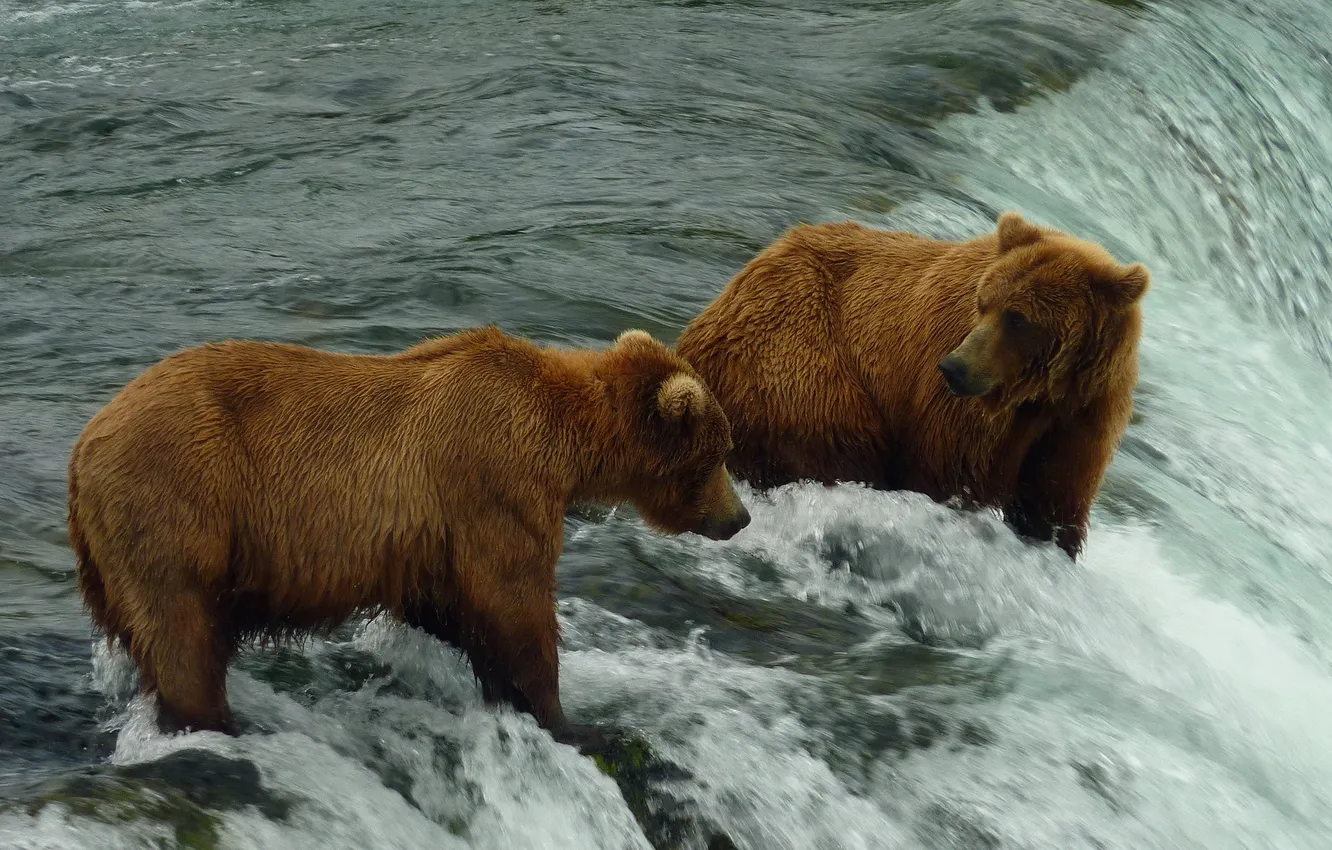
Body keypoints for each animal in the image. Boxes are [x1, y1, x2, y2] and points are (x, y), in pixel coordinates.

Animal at [67, 326, 750, 745]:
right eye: (719, 452)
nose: (739, 517)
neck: (565, 441)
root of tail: (82, 449)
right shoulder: (493, 482)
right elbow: (514, 603)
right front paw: (567, 719)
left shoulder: (436, 529)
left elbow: (450, 606)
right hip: (180, 497)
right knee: (182, 624)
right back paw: (220, 723)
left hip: (109, 555)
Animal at [675, 211, 1148, 560]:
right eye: (984, 304)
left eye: (1018, 318)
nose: (954, 368)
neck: (1040, 394)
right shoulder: (956, 409)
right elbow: (948, 477)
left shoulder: (1084, 415)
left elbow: (1054, 500)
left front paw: (1053, 540)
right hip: (802, 360)